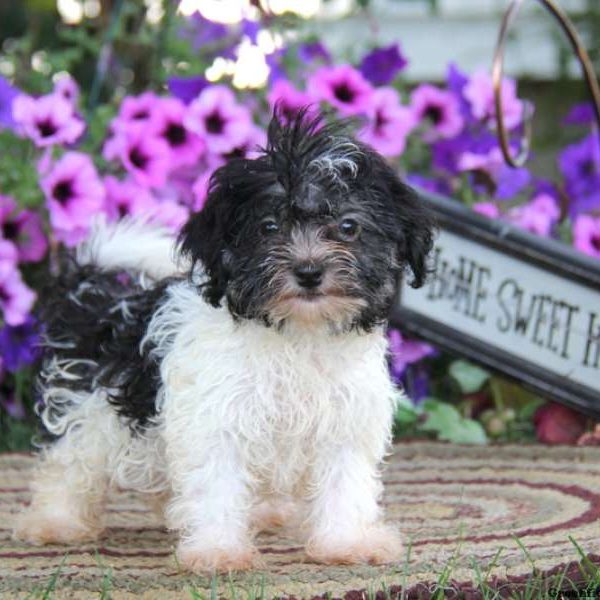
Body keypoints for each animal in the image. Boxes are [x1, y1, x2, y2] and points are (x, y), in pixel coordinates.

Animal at [11, 110, 432, 576]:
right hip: (87, 406)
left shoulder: (345, 419)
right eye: (268, 227)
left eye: (348, 226)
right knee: (70, 460)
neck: (296, 332)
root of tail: (97, 290)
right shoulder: (217, 419)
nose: (308, 271)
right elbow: (215, 483)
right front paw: (217, 550)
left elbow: (345, 482)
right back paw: (56, 520)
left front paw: (347, 541)